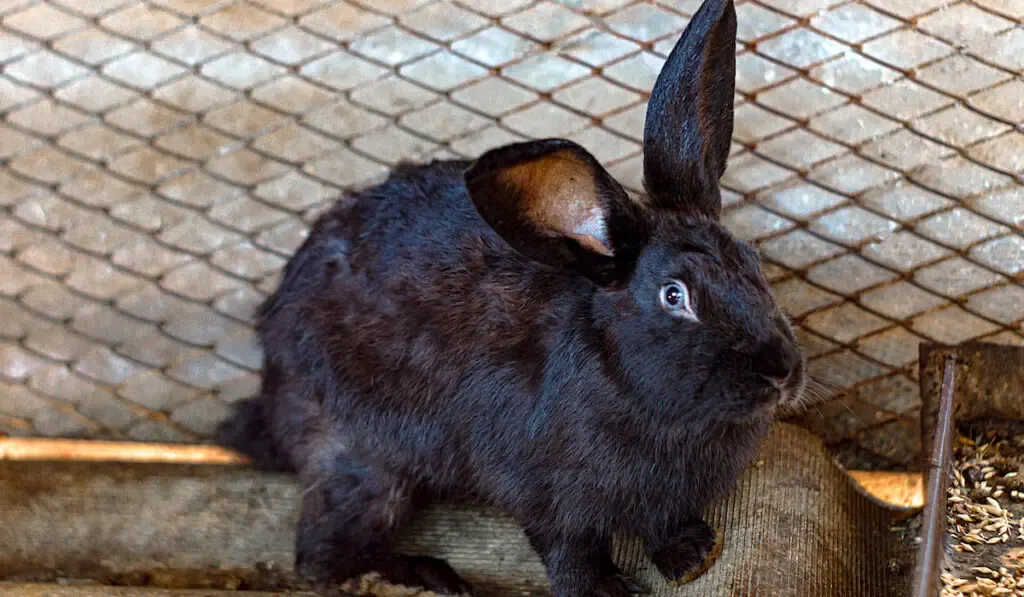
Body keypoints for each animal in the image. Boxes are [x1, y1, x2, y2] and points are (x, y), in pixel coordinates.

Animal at [220, 0, 802, 593]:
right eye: (673, 294)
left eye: (753, 263)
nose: (781, 373)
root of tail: (271, 381)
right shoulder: (542, 492)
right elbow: (570, 548)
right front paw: (604, 589)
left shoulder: (660, 500)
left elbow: (662, 524)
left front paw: (692, 555)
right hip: (363, 462)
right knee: (321, 555)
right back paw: (428, 574)